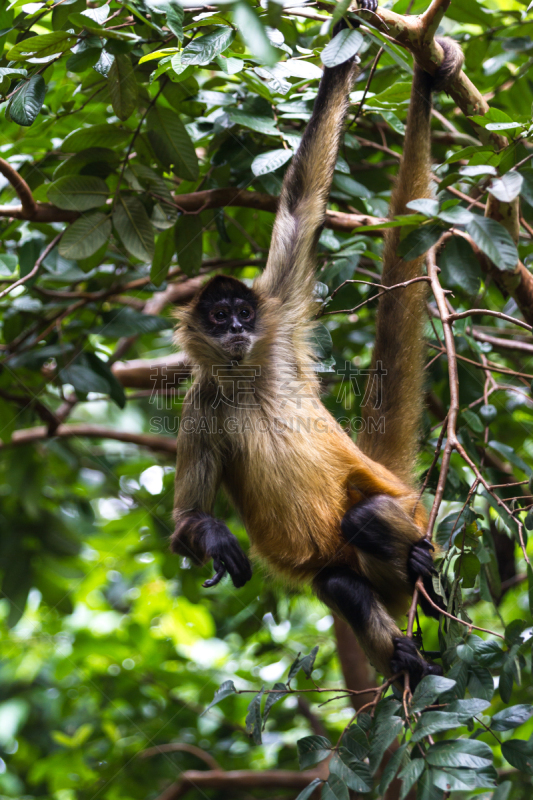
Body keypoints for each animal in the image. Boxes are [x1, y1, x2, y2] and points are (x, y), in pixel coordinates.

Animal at [172, 14, 464, 680]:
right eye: (219, 316)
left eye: (243, 312)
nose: (236, 329)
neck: (248, 377)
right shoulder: (200, 404)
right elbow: (183, 525)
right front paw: (212, 538)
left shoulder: (277, 318)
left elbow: (302, 200)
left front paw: (347, 36)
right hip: (352, 571)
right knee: (340, 585)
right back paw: (407, 659)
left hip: (409, 515)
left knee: (366, 518)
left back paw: (425, 582)